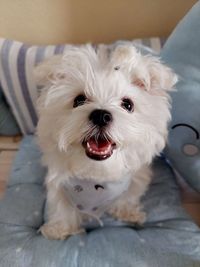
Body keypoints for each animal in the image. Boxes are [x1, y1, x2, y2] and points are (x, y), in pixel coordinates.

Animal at [34, 44, 177, 241]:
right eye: (79, 100)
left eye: (128, 104)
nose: (101, 116)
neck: (97, 173)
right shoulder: (58, 180)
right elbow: (60, 205)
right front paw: (60, 229)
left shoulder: (134, 178)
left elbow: (129, 195)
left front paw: (127, 212)